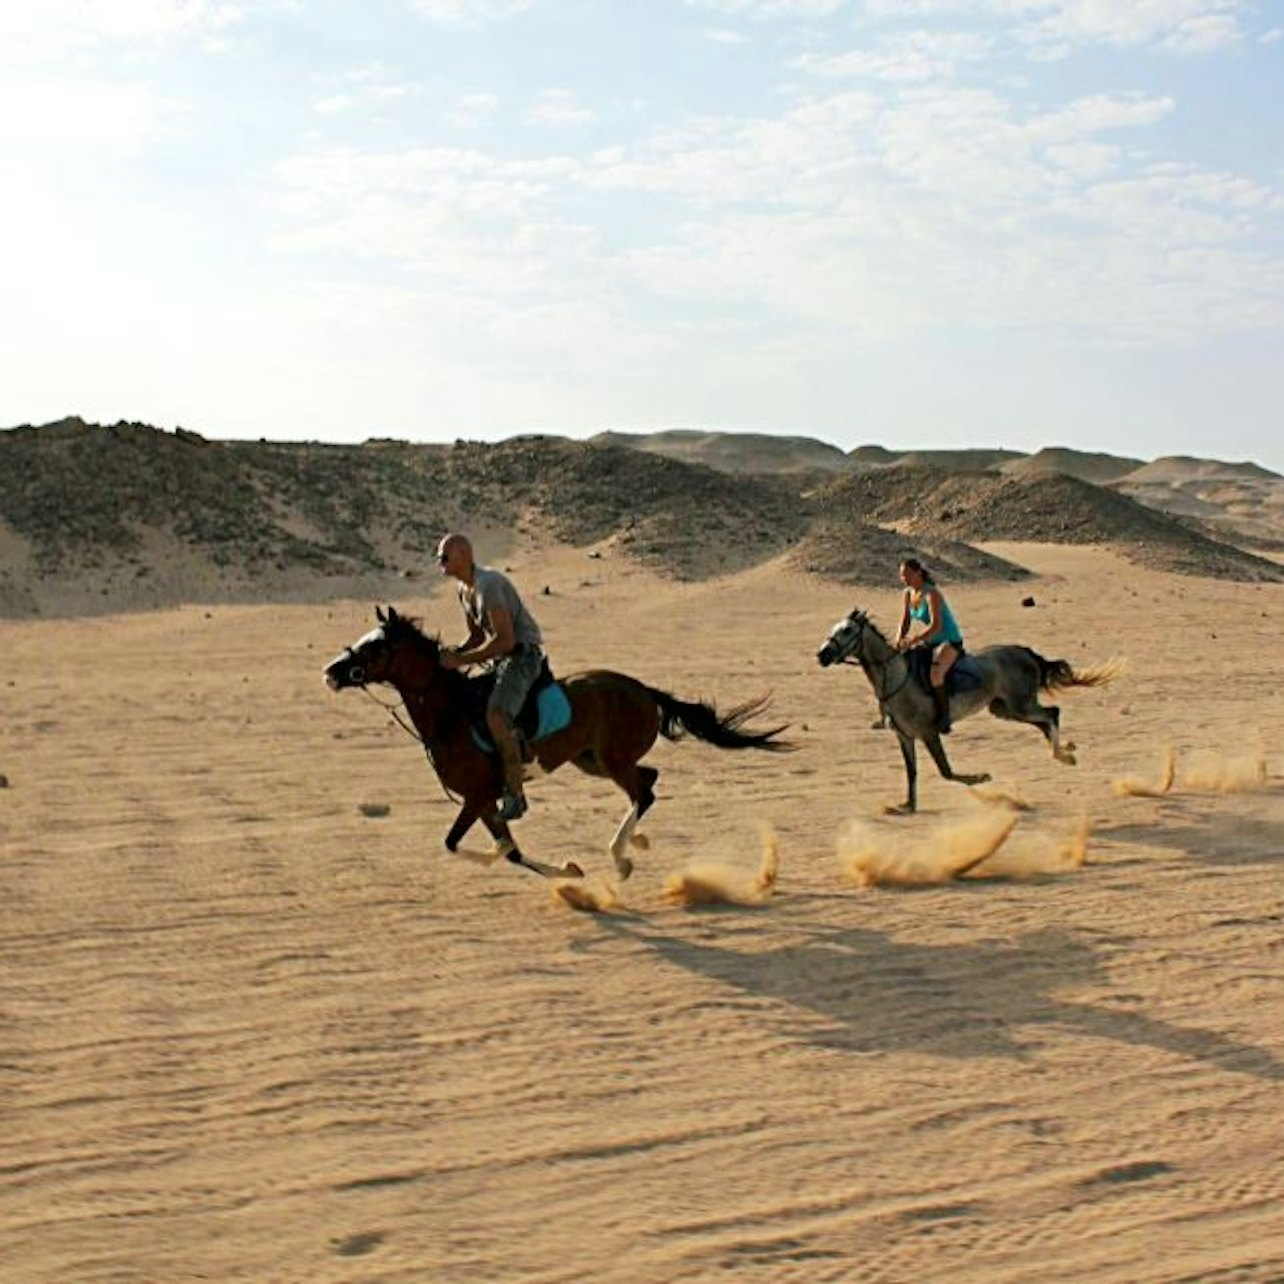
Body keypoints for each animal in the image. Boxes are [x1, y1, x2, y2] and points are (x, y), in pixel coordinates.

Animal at [326, 606, 785, 878]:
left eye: (376, 646)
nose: (331, 671)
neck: (450, 714)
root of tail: (642, 689)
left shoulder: (478, 796)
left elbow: (462, 843)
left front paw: (554, 867)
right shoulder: (485, 801)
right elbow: (501, 849)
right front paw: (563, 869)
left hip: (612, 761)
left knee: (643, 791)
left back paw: (620, 856)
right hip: (592, 760)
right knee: (650, 779)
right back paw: (634, 843)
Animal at [816, 608, 1119, 811]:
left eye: (847, 631)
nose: (822, 655)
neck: (897, 677)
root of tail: (1025, 652)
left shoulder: (928, 732)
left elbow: (946, 772)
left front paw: (982, 778)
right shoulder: (905, 736)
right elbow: (912, 772)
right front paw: (907, 805)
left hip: (1020, 704)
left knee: (1052, 713)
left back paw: (1061, 754)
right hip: (1005, 709)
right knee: (1045, 720)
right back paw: (1063, 753)